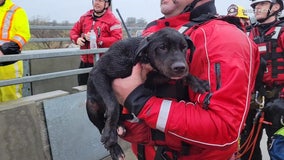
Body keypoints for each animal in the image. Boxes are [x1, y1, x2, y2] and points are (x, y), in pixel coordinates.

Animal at [86, 27, 209, 159]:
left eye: (184, 47)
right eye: (162, 47)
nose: (180, 68)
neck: (140, 57)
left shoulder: (157, 74)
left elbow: (182, 75)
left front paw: (198, 82)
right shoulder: (98, 73)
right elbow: (112, 105)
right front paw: (110, 135)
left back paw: (122, 123)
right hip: (91, 105)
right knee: (101, 126)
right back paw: (114, 147)